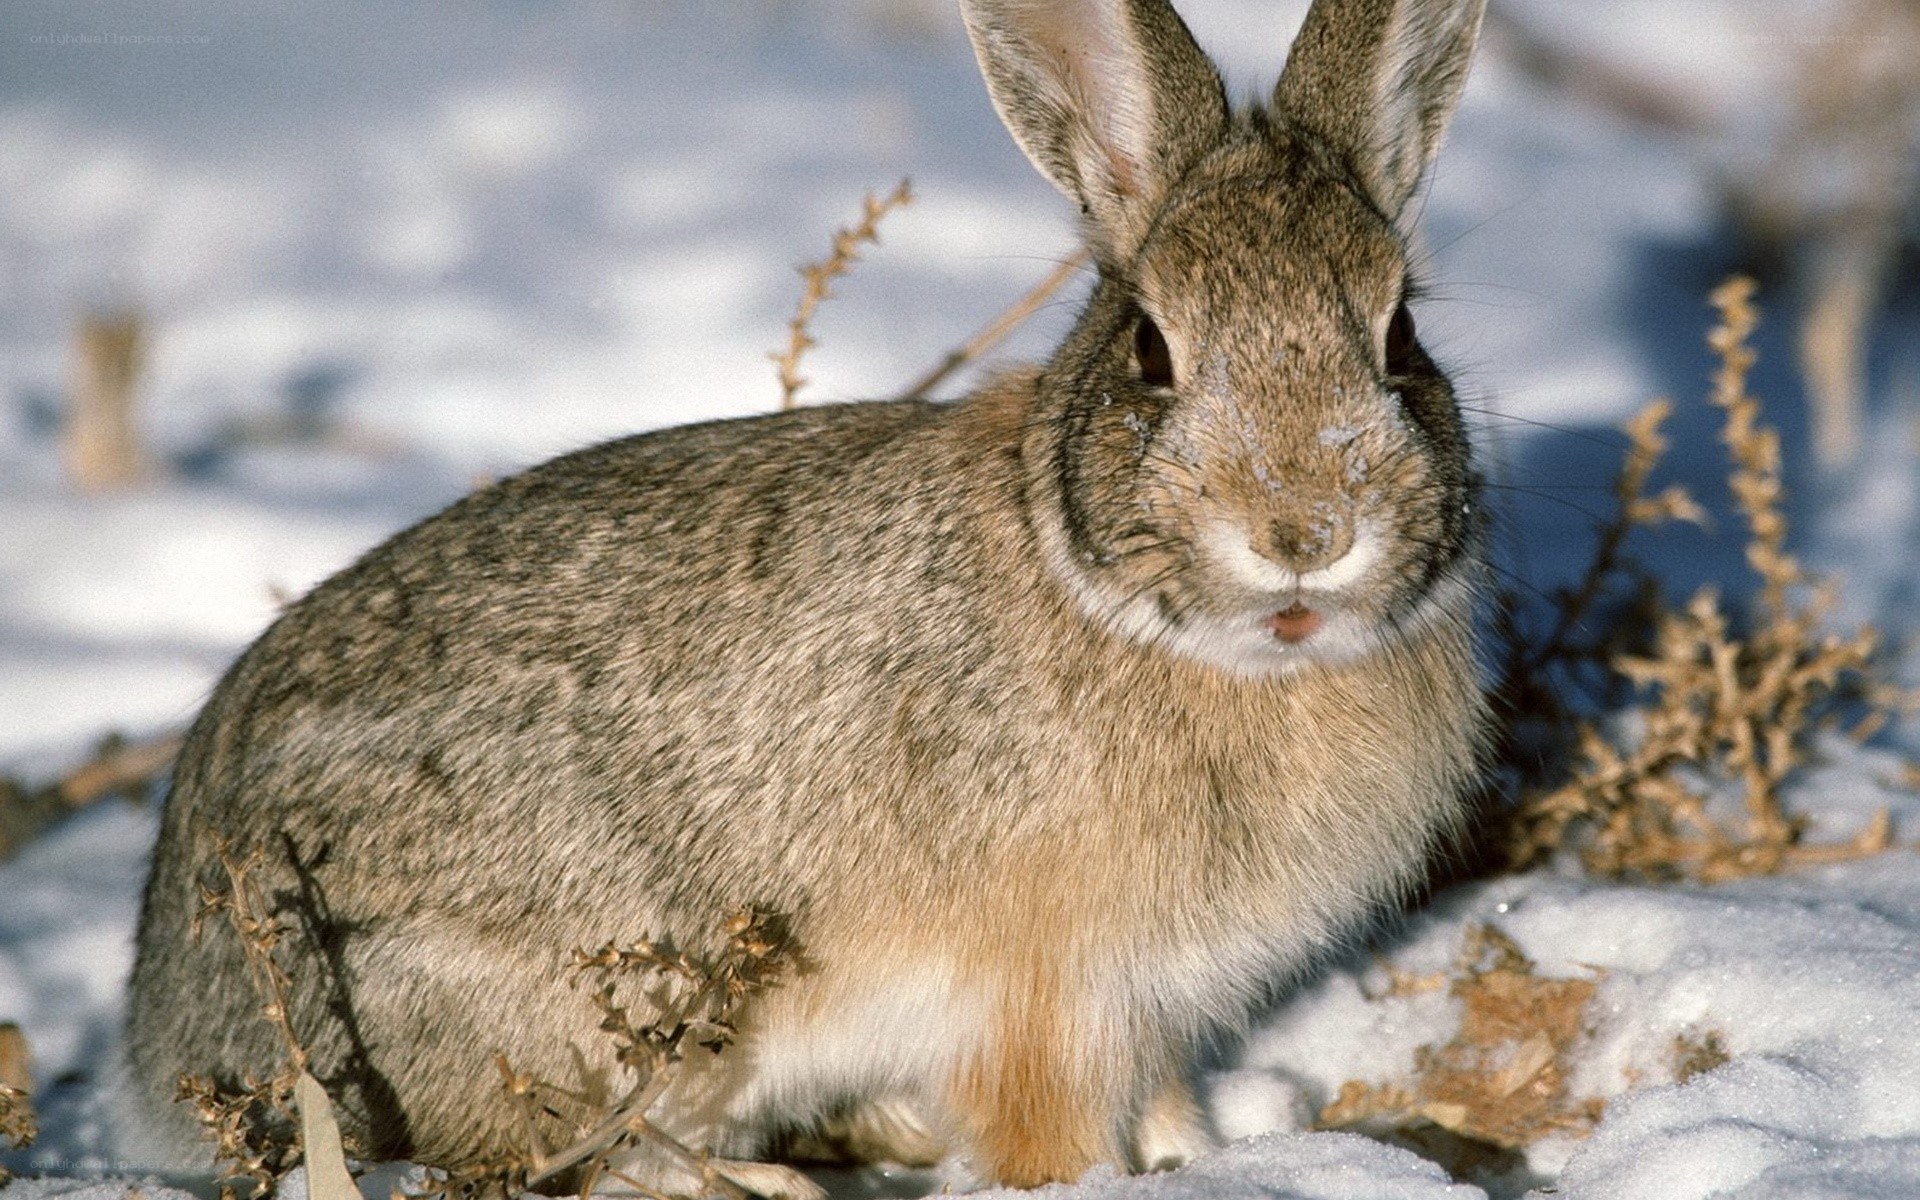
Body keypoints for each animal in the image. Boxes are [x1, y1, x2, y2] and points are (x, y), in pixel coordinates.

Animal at [126, 0, 1491, 1193]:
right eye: (1153, 351)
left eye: (1400, 338)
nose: (1305, 531)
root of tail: (168, 1018)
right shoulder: (1043, 1002)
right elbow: (1041, 1132)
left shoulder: (1151, 1007)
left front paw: (1198, 1159)